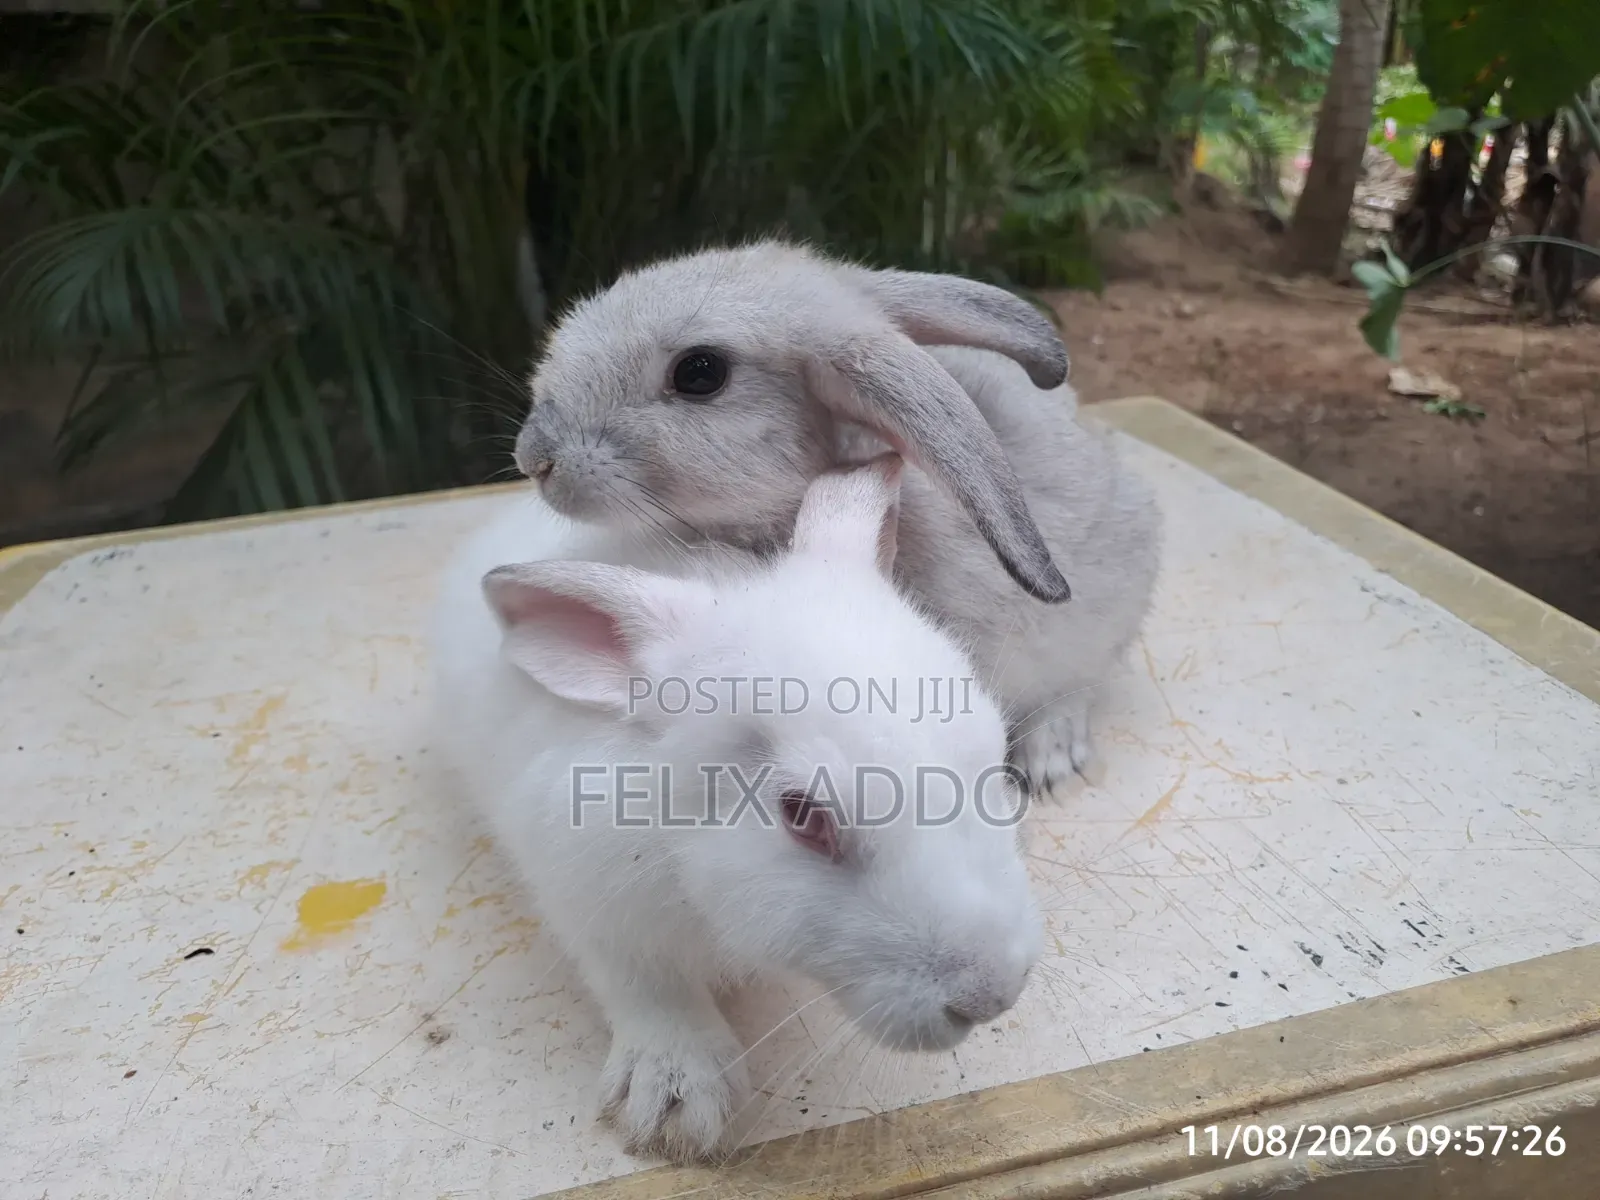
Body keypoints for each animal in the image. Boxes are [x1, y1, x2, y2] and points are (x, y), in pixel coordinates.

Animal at [426, 457, 1044, 1163]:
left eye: (994, 754)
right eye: (803, 815)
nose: (993, 995)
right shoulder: (591, 904)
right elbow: (646, 986)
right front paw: (673, 1103)